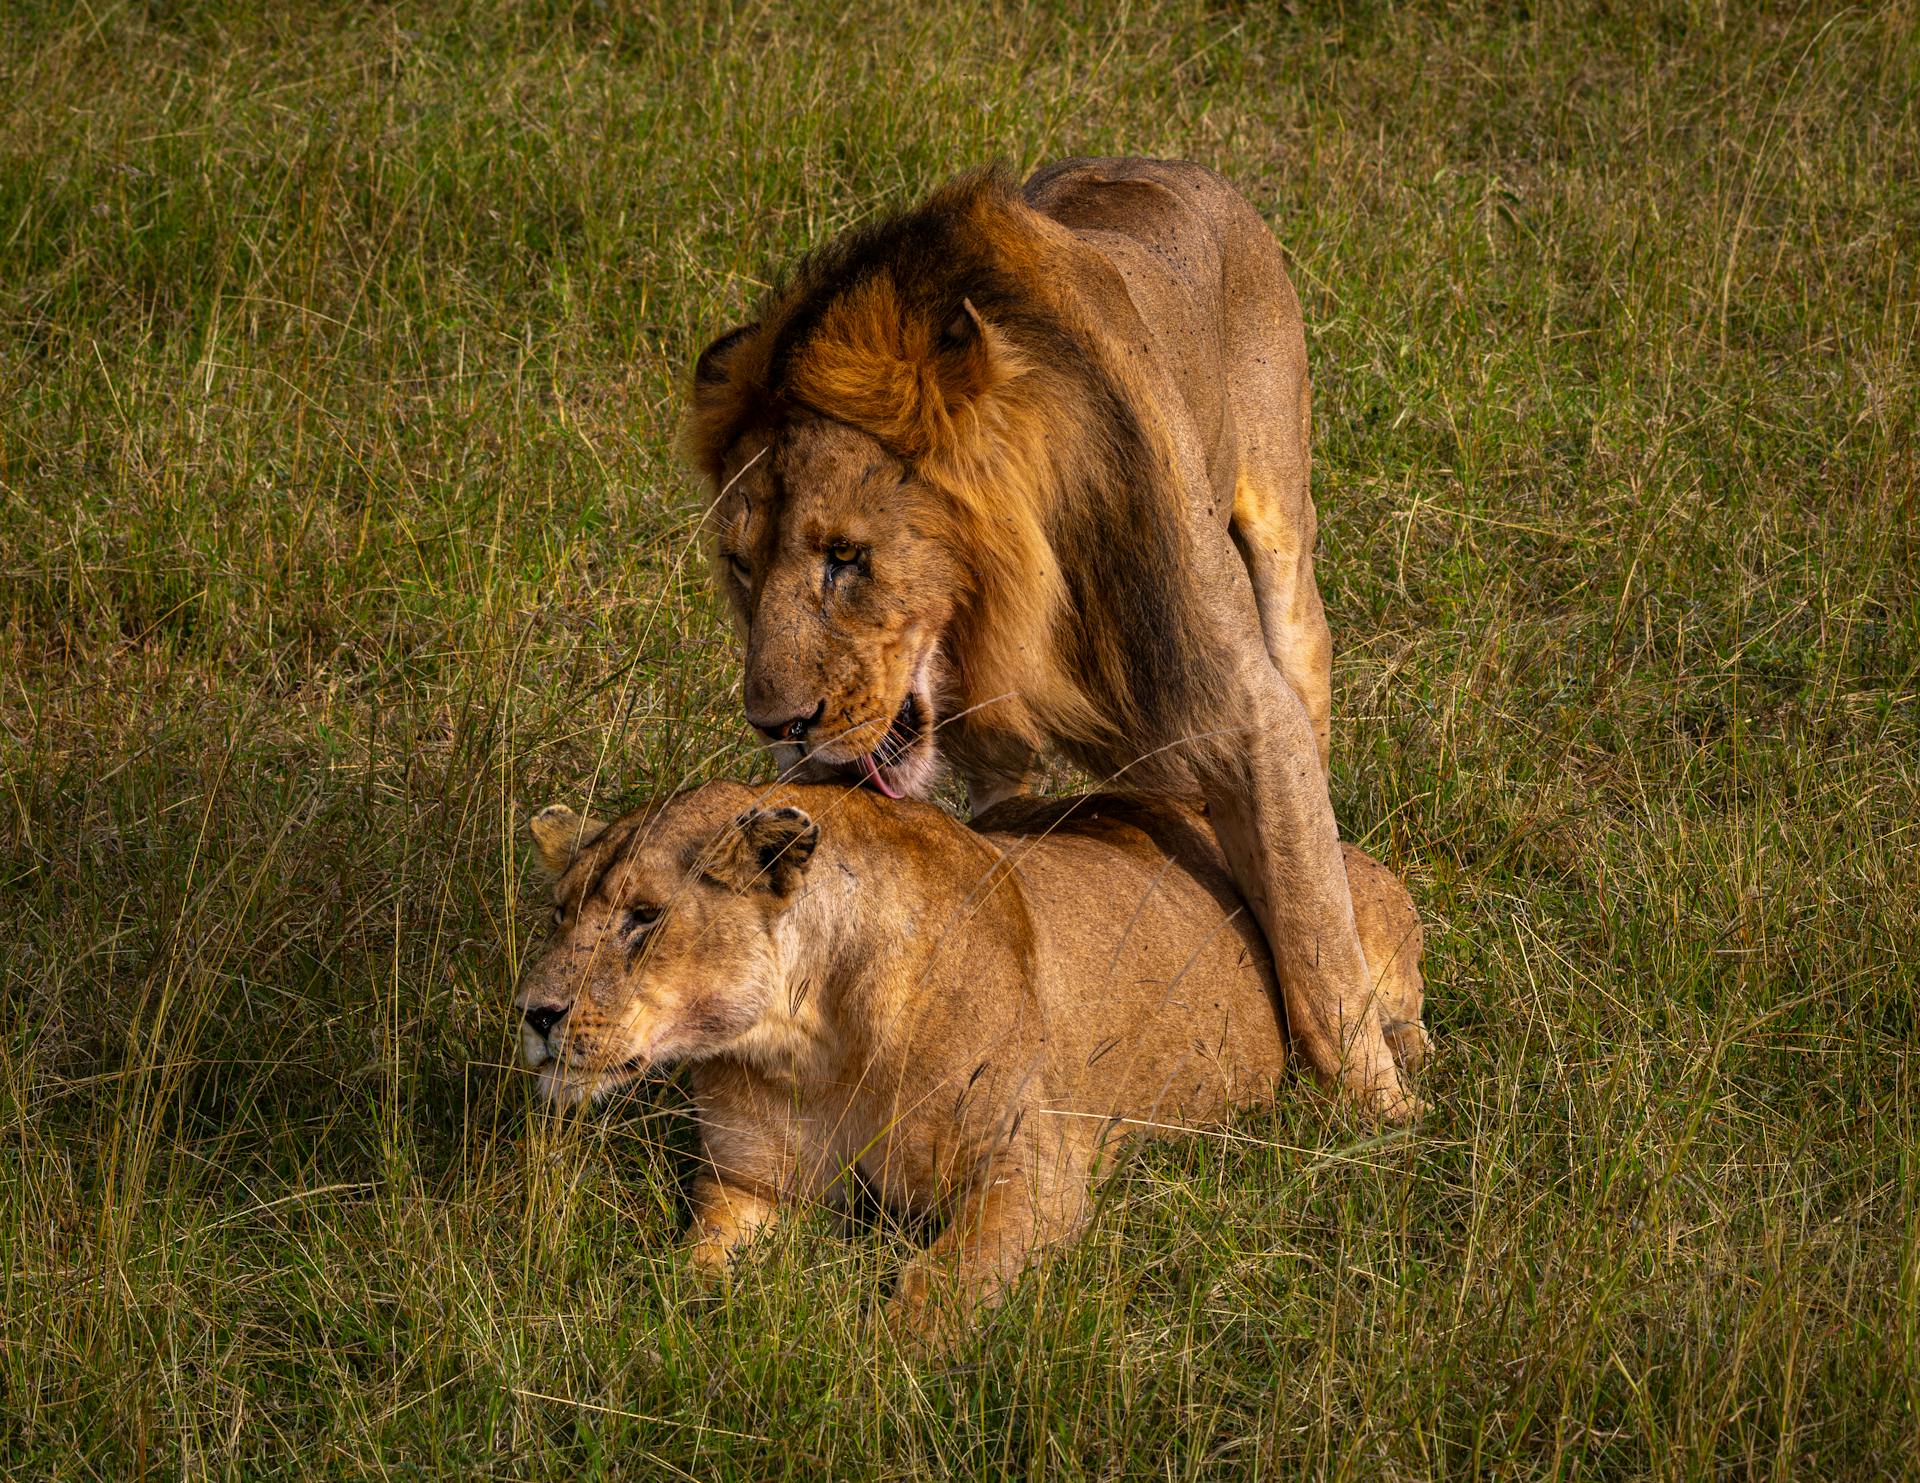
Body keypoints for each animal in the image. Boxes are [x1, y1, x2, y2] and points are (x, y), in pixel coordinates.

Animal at [510, 787, 1428, 1344]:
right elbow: (695, 1266)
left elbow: (942, 1281)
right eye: (559, 912)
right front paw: (672, 1317)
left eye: (643, 916)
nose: (535, 1012)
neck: (809, 1042)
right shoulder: (750, 1183)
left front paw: (876, 1362)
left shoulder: (1034, 1167)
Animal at [691, 156, 1428, 1121]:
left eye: (846, 556)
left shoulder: (1244, 711)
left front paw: (1384, 1119)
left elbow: (1315, 932)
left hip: (1281, 534)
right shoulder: (992, 752)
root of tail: (1179, 165)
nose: (776, 726)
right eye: (741, 566)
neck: (1003, 612)